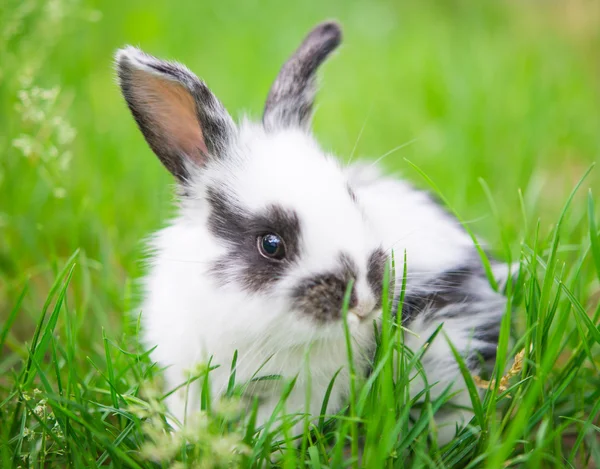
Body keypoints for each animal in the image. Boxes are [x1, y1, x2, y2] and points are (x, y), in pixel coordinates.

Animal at [116, 21, 510, 442]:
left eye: (353, 200)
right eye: (271, 244)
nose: (363, 302)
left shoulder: (311, 389)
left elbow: (279, 425)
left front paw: (249, 446)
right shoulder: (184, 372)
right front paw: (182, 439)